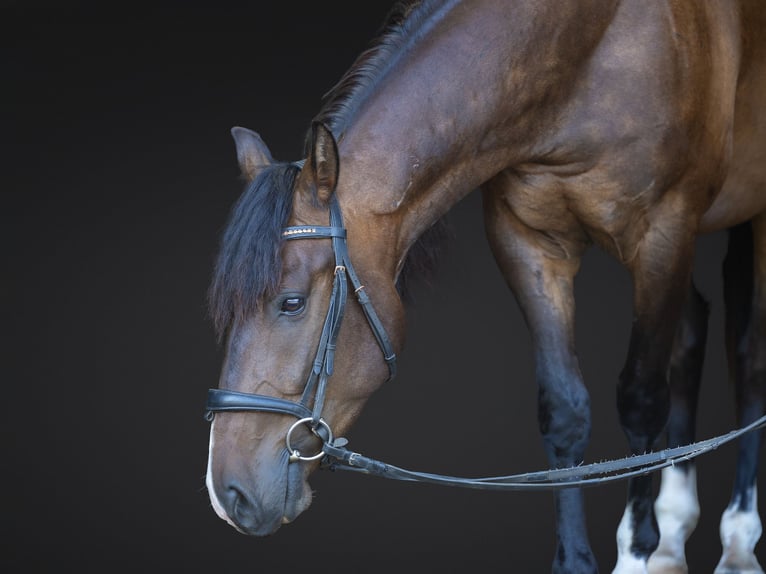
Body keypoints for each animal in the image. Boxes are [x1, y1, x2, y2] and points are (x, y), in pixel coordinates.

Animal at [203, 1, 766, 572]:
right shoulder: (530, 244)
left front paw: (636, 552)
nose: (227, 495)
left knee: (746, 354)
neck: (583, 57)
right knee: (693, 332)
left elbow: (642, 398)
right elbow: (564, 410)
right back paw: (674, 535)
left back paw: (737, 540)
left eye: (291, 303)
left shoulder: (661, 236)